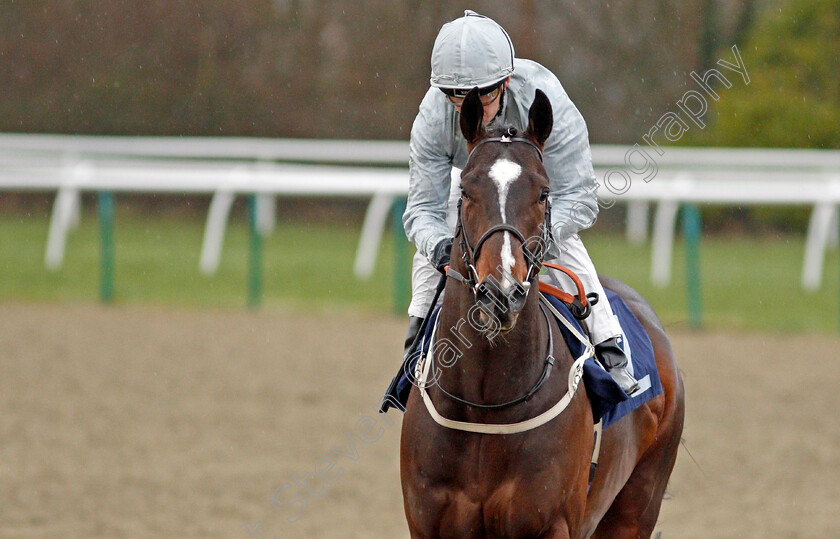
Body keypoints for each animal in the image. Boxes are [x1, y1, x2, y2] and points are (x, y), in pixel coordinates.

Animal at [398, 86, 684, 536]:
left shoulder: (552, 523)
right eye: (465, 191)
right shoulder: (426, 524)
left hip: (638, 500)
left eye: (543, 192)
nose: (501, 293)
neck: (487, 407)